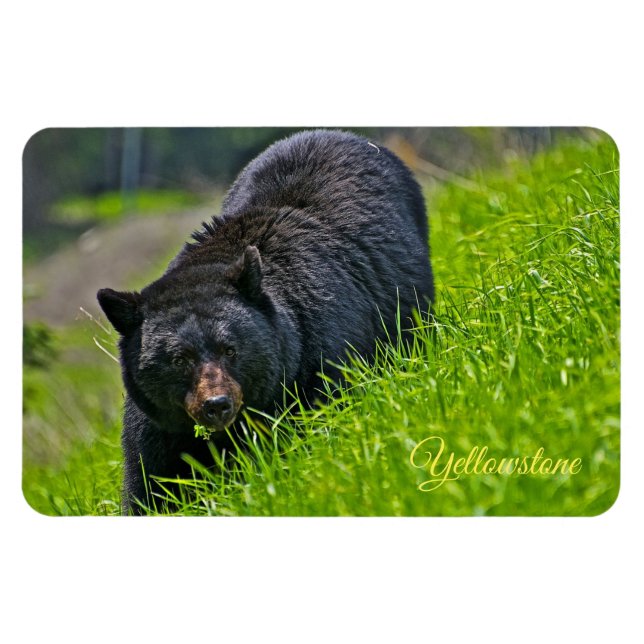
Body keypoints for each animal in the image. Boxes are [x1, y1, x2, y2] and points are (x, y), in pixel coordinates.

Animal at [97, 129, 434, 514]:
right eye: (179, 359)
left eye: (230, 349)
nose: (217, 405)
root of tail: (337, 134)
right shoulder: (159, 425)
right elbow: (151, 482)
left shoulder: (318, 362)